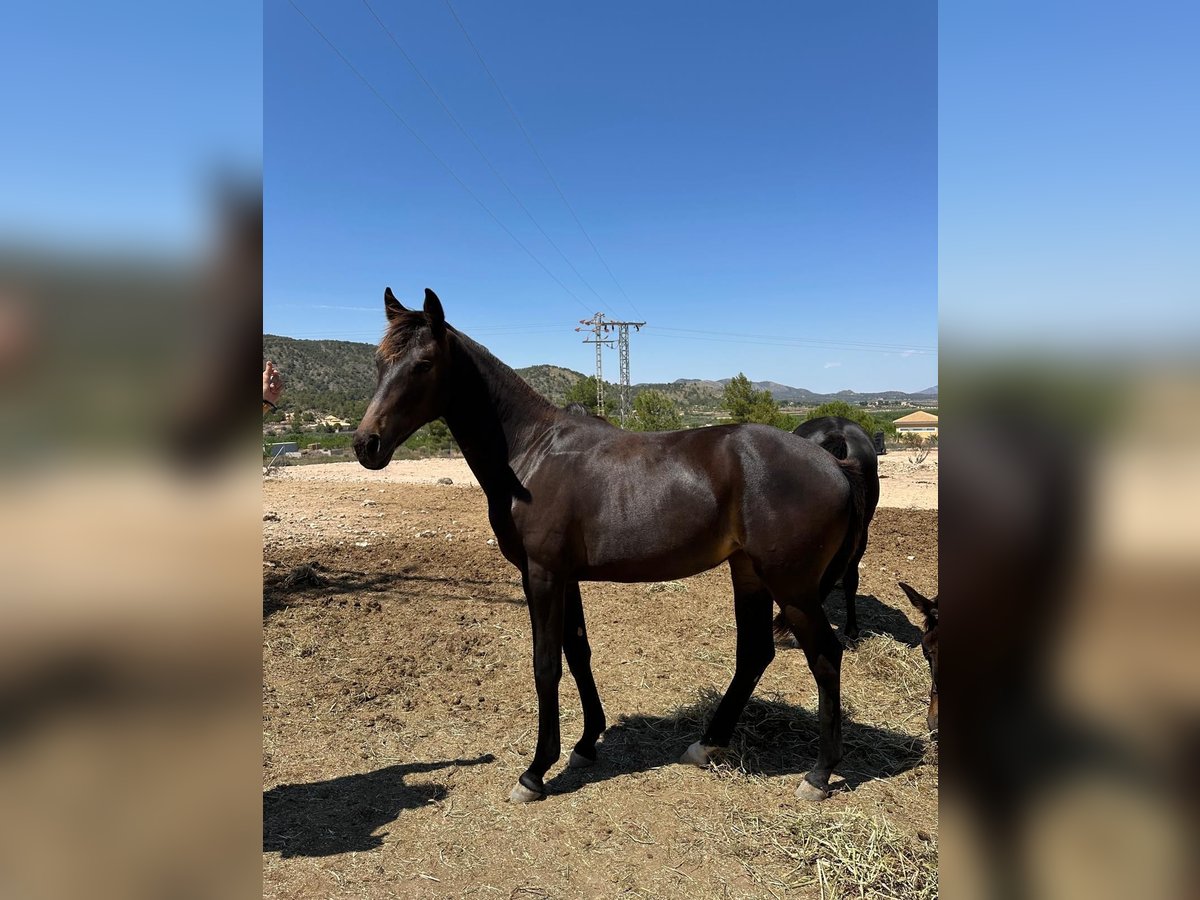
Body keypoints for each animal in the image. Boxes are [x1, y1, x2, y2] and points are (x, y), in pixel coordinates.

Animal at [353, 288, 866, 804]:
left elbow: (546, 665)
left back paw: (819, 774)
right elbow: (578, 652)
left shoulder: (541, 574)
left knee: (825, 656)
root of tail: (833, 464)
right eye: (379, 362)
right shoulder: (564, 577)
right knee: (755, 653)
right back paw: (707, 744)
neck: (530, 453)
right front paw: (585, 743)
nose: (366, 445)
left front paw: (535, 771)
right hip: (748, 573)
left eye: (423, 364)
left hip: (791, 585)